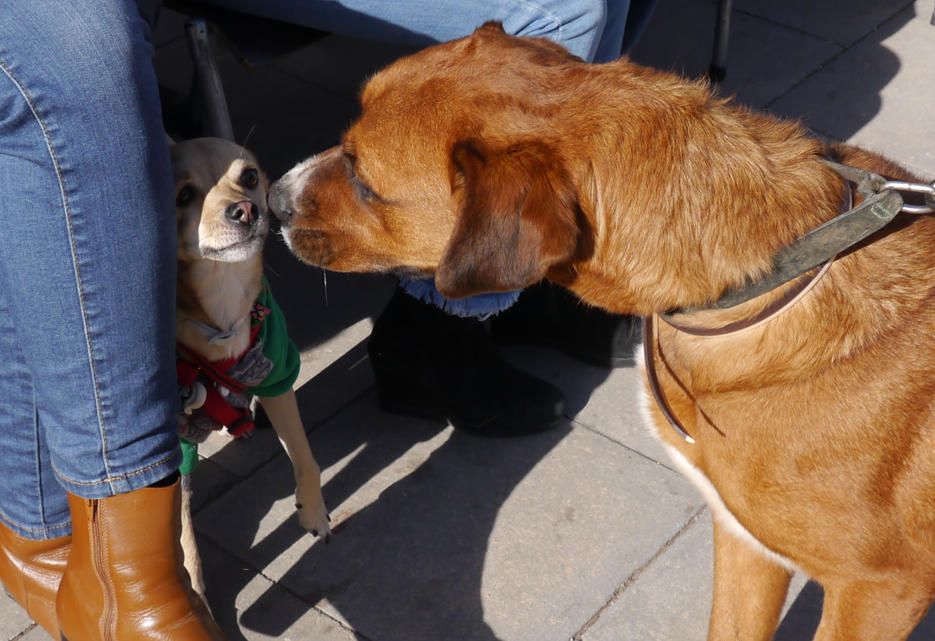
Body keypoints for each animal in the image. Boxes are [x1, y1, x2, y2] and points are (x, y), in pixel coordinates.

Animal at [170, 138, 330, 596]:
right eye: (182, 196)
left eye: (249, 176)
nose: (245, 209)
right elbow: (183, 536)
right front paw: (195, 595)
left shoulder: (278, 375)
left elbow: (303, 455)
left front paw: (314, 512)